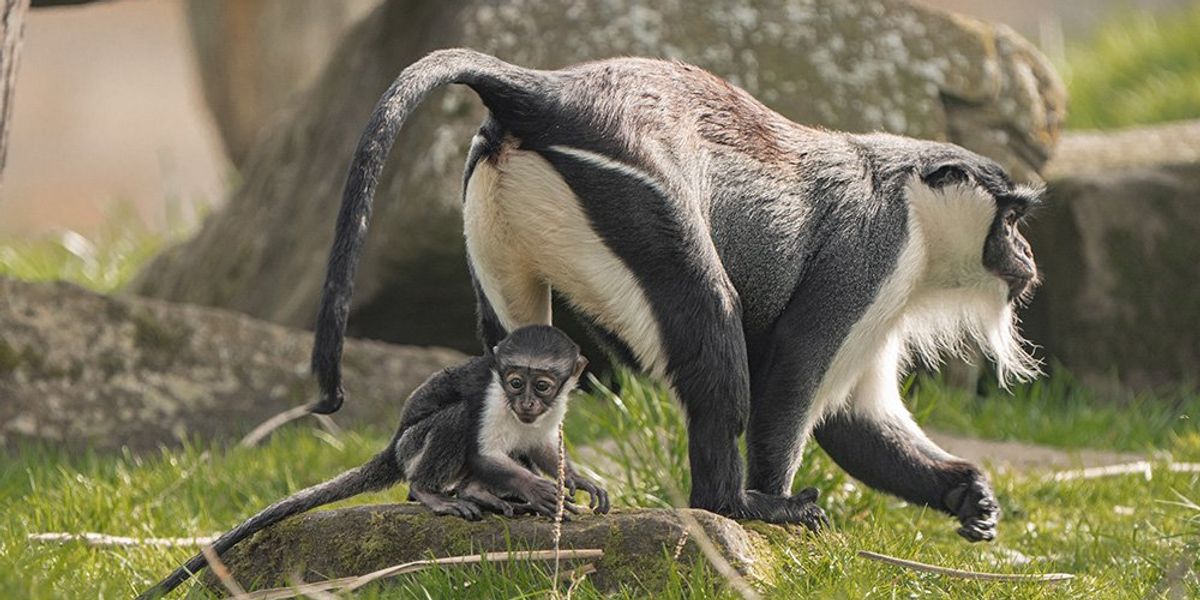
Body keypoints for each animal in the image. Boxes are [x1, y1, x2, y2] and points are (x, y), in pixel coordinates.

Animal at [138, 325, 609, 599]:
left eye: (542, 386)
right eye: (514, 382)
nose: (526, 402)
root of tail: (393, 444)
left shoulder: (549, 413)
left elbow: (545, 448)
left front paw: (579, 482)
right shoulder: (491, 397)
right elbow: (482, 451)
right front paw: (538, 490)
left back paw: (482, 493)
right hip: (413, 446)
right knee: (453, 421)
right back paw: (434, 492)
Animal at [309, 48, 1042, 541]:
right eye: (1010, 219)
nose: (1028, 258)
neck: (913, 200)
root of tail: (547, 93)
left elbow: (854, 418)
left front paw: (968, 494)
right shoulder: (871, 254)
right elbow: (793, 377)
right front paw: (775, 501)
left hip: (496, 215)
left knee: (510, 348)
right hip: (639, 202)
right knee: (713, 326)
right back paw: (734, 506)